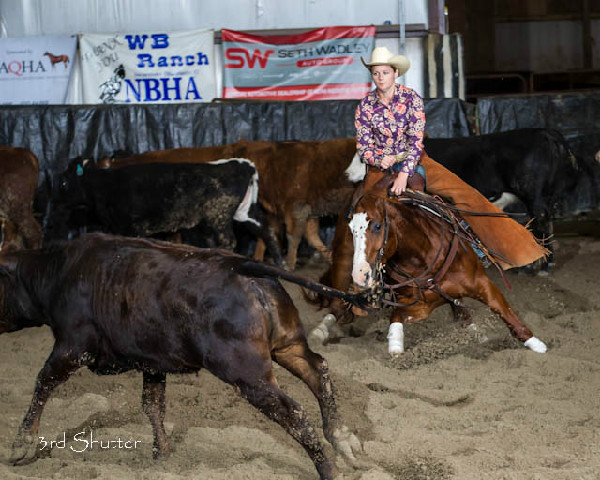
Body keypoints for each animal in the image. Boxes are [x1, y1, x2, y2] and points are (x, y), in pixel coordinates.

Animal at [0, 232, 360, 476]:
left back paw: (329, 468)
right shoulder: (152, 361)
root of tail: (241, 266)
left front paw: (22, 444)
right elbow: (152, 405)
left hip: (247, 374)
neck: (56, 273)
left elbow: (43, 382)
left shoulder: (73, 348)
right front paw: (162, 454)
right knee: (318, 370)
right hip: (287, 345)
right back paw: (343, 439)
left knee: (292, 411)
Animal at [44, 158, 284, 266]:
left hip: (219, 215)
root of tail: (239, 163)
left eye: (63, 183)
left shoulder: (132, 227)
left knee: (228, 240)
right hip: (244, 211)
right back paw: (281, 263)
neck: (106, 185)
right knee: (266, 229)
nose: (53, 203)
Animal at [312, 173, 548, 356]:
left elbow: (506, 313)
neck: (423, 256)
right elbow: (396, 315)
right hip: (343, 261)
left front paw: (537, 345)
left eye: (378, 226)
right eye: (352, 229)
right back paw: (320, 330)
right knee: (337, 304)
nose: (361, 275)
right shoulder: (420, 304)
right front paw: (395, 344)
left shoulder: (482, 284)